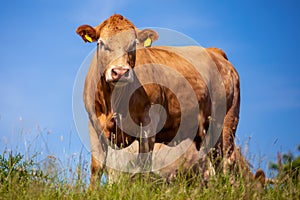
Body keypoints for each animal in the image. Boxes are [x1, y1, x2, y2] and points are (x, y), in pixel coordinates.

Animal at [77, 13, 248, 188]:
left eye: (133, 45)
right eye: (101, 43)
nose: (120, 71)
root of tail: (215, 52)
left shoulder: (148, 124)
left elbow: (144, 163)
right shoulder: (94, 125)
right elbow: (98, 166)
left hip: (226, 121)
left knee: (225, 160)